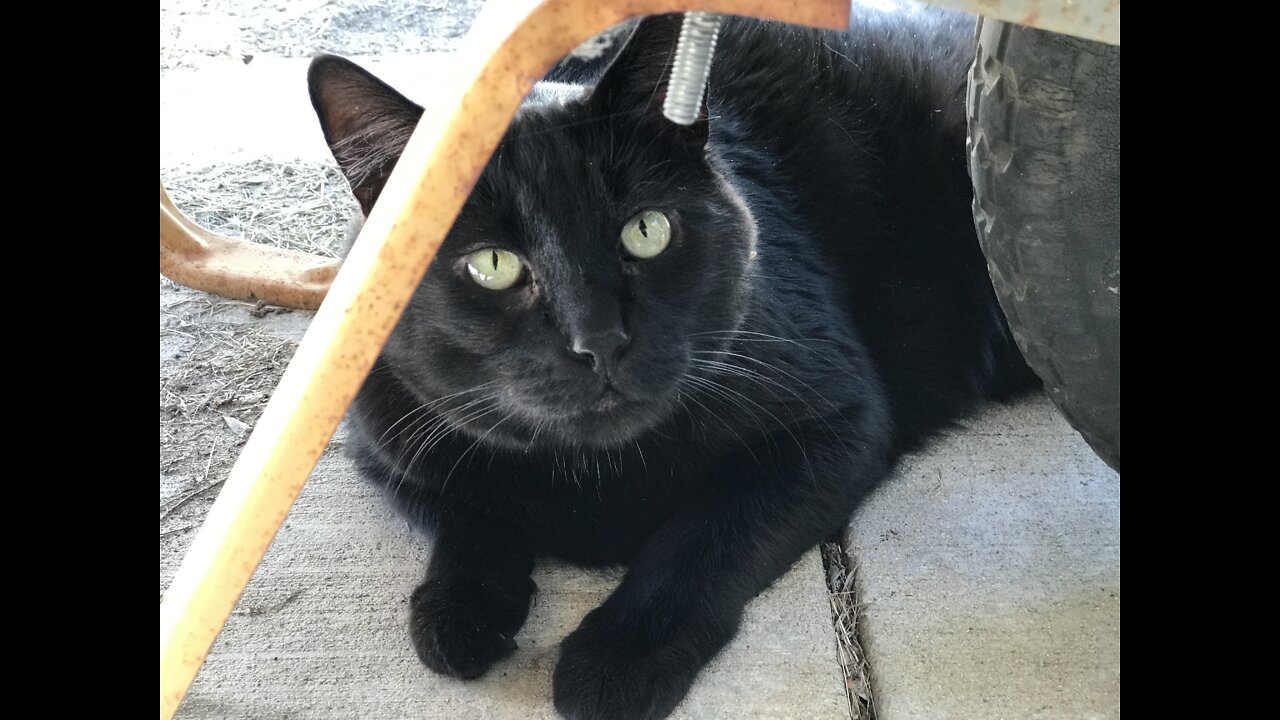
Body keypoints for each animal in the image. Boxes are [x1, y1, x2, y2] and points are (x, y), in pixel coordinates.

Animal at [307, 7, 1039, 717]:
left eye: (647, 231)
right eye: (492, 265)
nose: (600, 339)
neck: (591, 474)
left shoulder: (838, 418)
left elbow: (705, 536)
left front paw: (618, 660)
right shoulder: (385, 445)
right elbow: (465, 516)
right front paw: (457, 613)